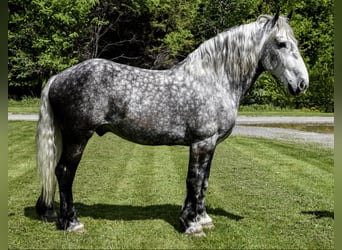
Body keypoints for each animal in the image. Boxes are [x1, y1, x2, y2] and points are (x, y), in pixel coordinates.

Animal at [35, 12, 310, 236]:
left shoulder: (211, 144)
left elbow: (204, 180)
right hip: (78, 137)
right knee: (64, 172)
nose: (302, 84)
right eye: (281, 43)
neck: (214, 79)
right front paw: (191, 225)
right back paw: (72, 223)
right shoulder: (201, 142)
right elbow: (194, 180)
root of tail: (59, 77)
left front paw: (203, 219)